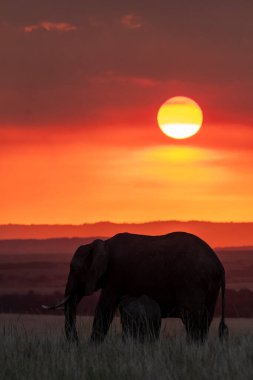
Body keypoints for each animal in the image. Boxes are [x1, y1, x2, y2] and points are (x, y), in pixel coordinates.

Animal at [43, 232, 229, 344]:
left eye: (74, 269)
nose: (76, 342)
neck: (103, 244)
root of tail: (219, 265)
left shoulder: (114, 276)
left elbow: (104, 310)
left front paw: (92, 348)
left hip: (191, 281)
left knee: (191, 319)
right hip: (209, 285)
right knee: (205, 320)